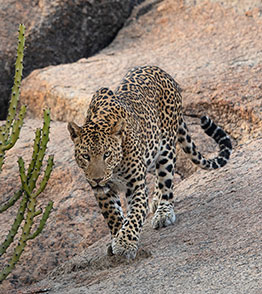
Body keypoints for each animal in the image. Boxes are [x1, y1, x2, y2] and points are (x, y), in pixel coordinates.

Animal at [67, 65, 231, 260]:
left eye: (107, 155)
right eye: (85, 156)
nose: (97, 179)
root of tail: (162, 72)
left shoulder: (136, 185)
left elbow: (135, 215)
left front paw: (125, 243)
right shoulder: (103, 192)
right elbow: (113, 216)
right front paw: (117, 238)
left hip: (166, 150)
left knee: (167, 180)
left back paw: (163, 212)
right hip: (151, 154)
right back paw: (156, 200)